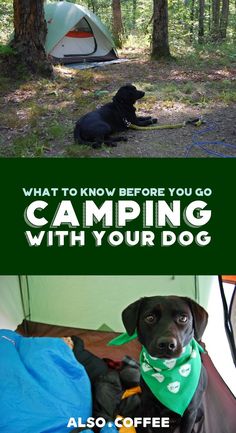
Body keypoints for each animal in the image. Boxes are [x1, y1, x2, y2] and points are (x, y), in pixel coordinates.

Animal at [121, 296, 208, 432]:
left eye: (183, 318)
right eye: (150, 318)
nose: (167, 344)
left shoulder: (190, 413)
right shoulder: (147, 406)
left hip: (198, 413)